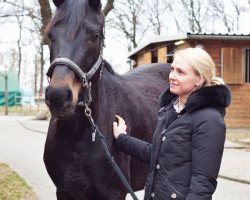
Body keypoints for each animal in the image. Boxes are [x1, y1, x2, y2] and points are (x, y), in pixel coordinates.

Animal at [44, 0, 171, 200]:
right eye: (50, 35)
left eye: (94, 36)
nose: (58, 95)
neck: (77, 135)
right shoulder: (64, 192)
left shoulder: (114, 194)